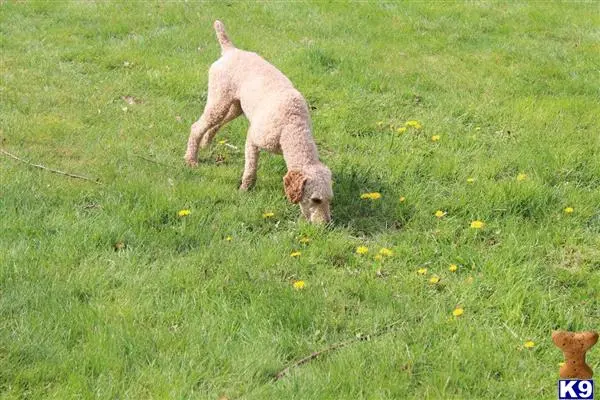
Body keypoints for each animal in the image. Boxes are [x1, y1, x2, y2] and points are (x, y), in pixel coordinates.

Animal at [184, 20, 332, 223]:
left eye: (329, 200)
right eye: (315, 200)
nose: (326, 225)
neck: (292, 126)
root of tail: (231, 50)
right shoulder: (253, 139)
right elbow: (250, 169)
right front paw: (244, 190)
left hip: (235, 106)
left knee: (214, 125)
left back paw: (206, 144)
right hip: (219, 99)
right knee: (197, 127)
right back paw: (191, 159)